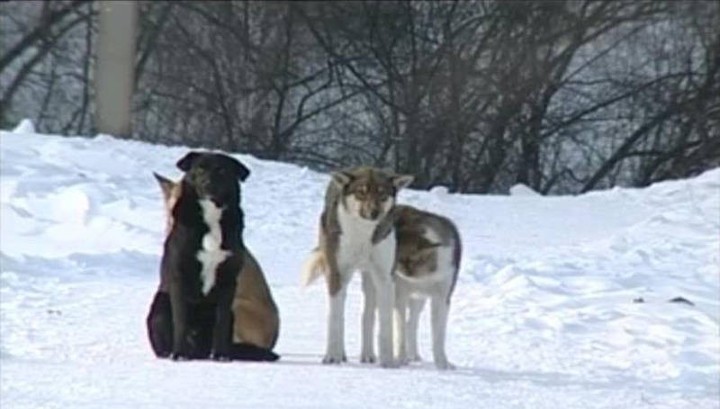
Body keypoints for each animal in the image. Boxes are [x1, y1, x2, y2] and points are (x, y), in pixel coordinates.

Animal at [155, 151, 250, 360]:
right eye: (199, 168)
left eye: (221, 170)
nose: (207, 184)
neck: (211, 215)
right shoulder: (179, 276)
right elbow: (180, 320)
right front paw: (179, 354)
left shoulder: (228, 280)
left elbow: (221, 322)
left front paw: (221, 355)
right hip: (160, 306)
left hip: (232, 314)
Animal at [300, 166, 414, 366]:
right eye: (361, 192)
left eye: (382, 194)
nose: (374, 212)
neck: (363, 235)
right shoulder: (337, 273)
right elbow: (335, 318)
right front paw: (332, 356)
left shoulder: (385, 278)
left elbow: (385, 322)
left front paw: (388, 361)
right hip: (342, 276)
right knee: (341, 313)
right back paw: (341, 354)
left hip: (369, 279)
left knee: (368, 315)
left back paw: (368, 355)